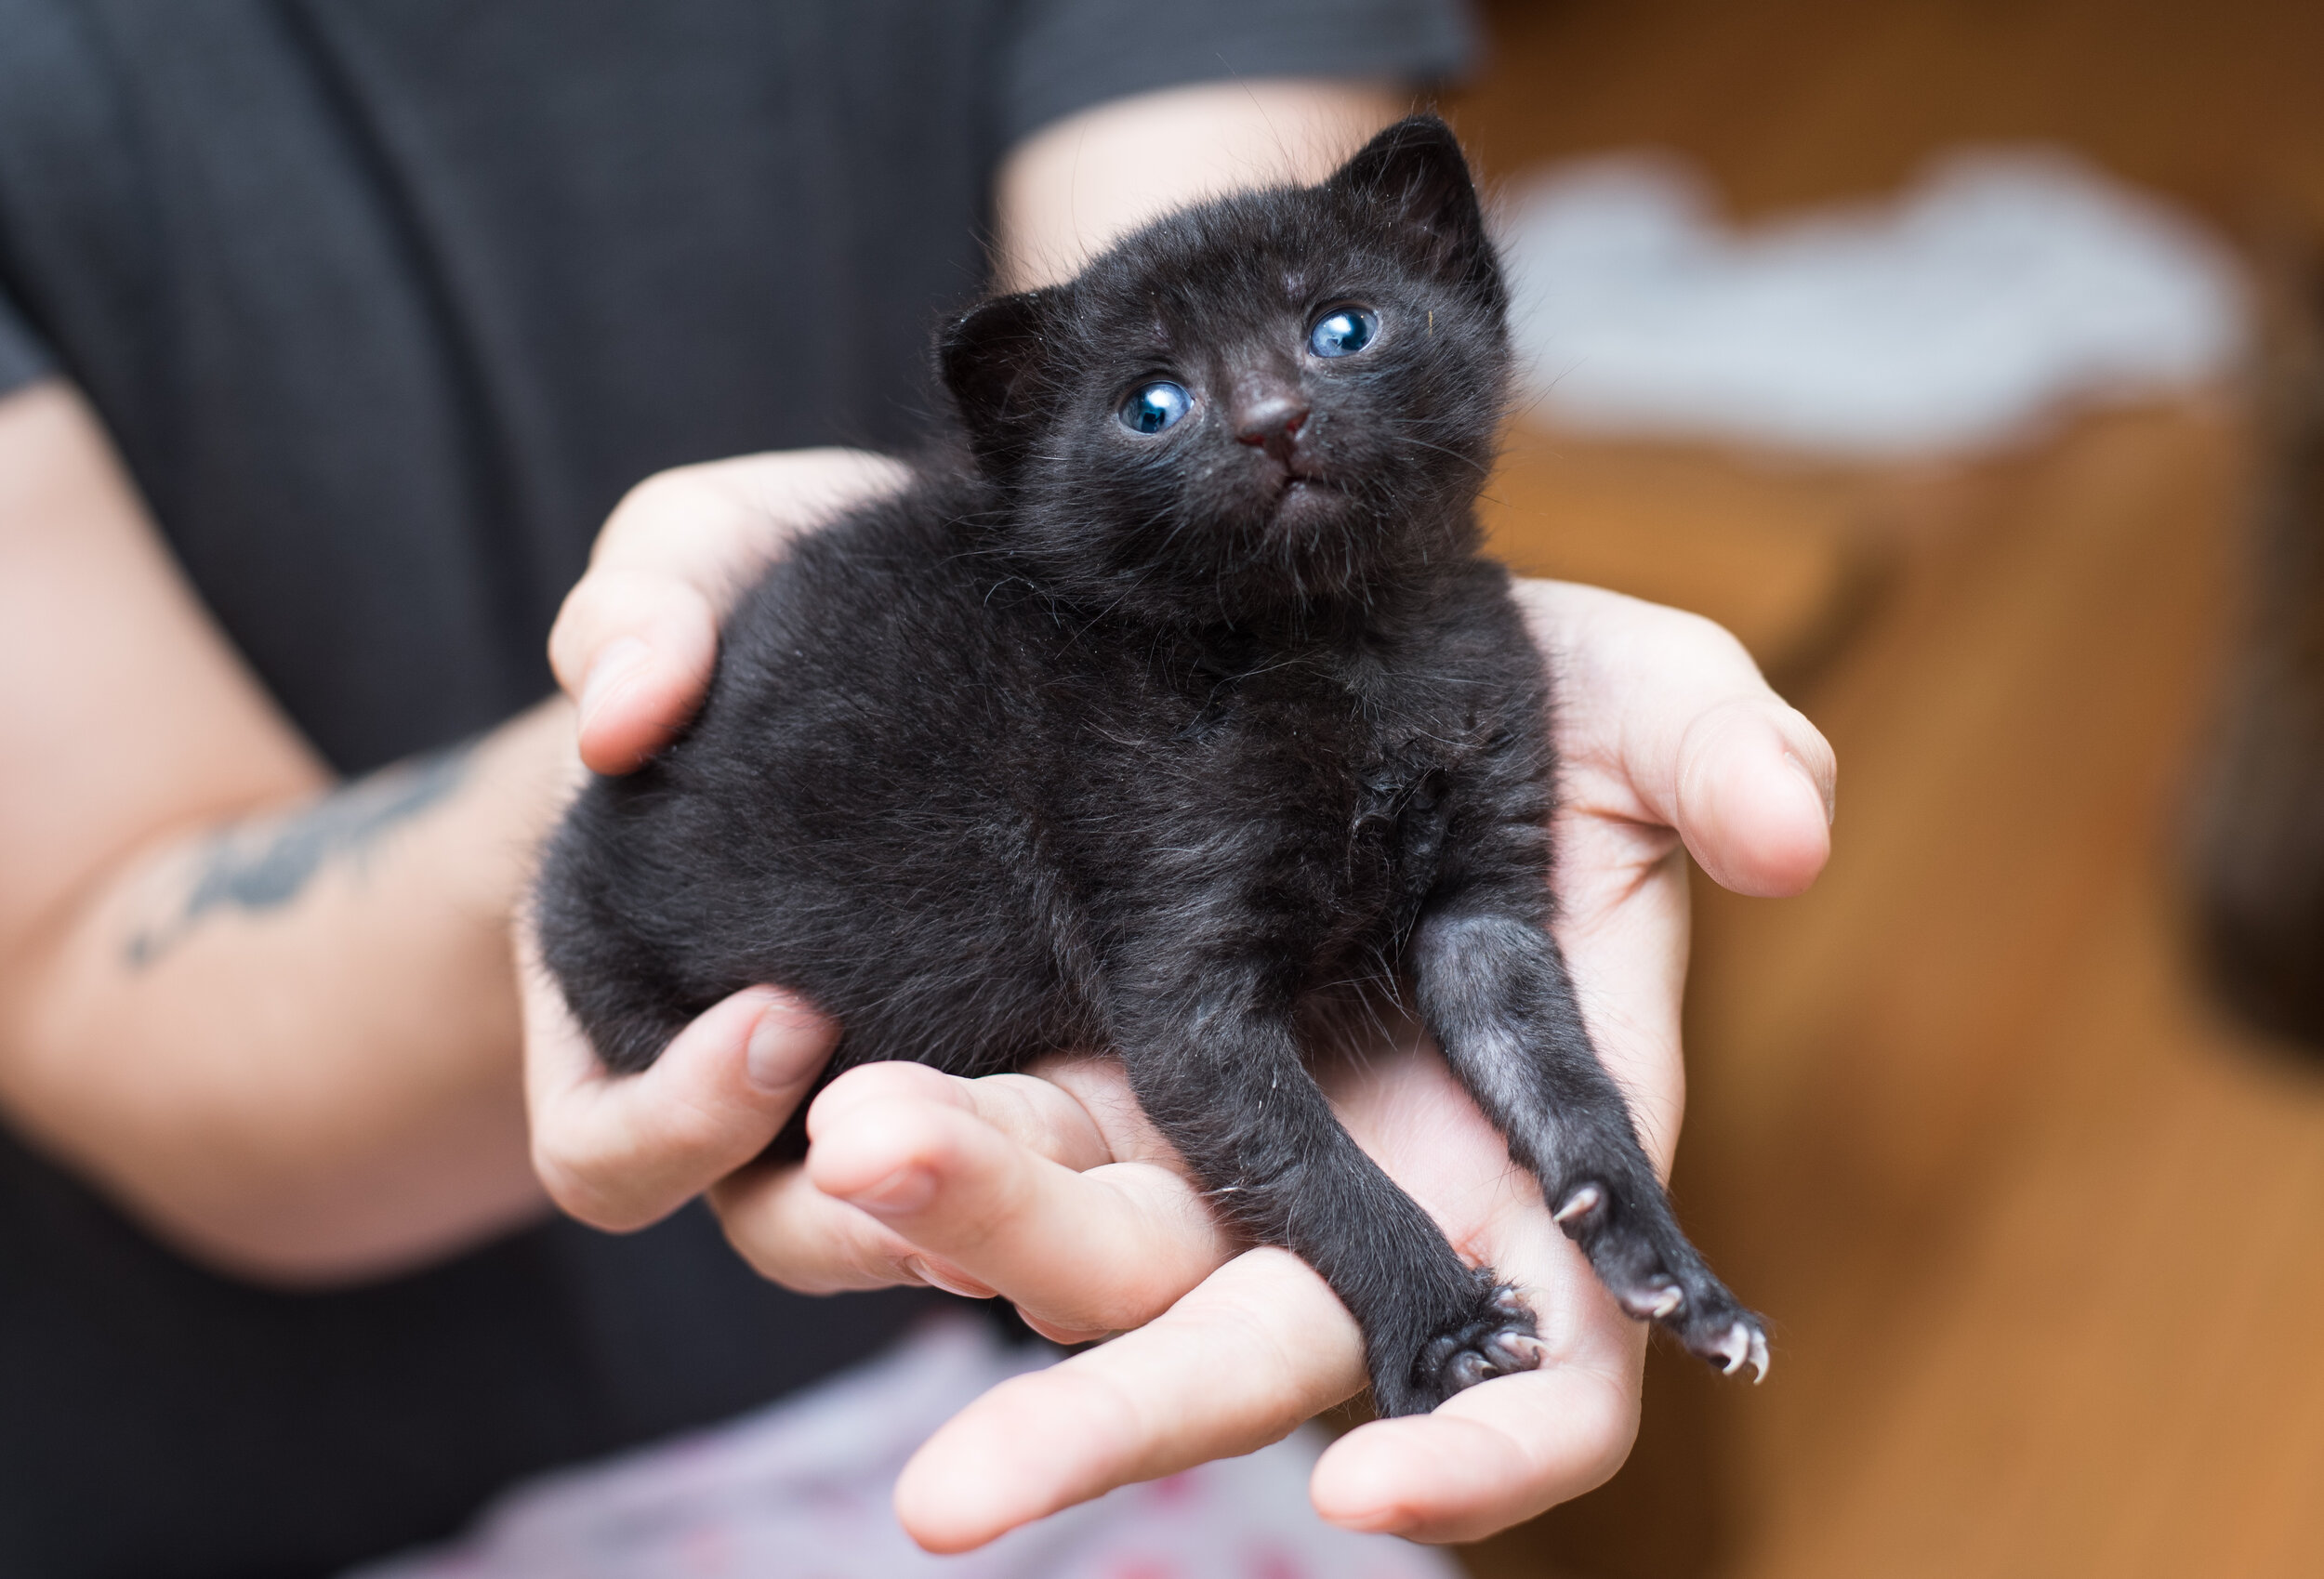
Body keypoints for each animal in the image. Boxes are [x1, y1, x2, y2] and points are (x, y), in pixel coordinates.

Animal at [535, 117, 1766, 1412]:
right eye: (1153, 404)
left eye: (1343, 328)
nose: (1272, 418)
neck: (1345, 646)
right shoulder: (1182, 972)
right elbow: (1310, 1162)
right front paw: (1443, 1326)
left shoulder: (1488, 907)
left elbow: (1569, 1087)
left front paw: (1671, 1271)